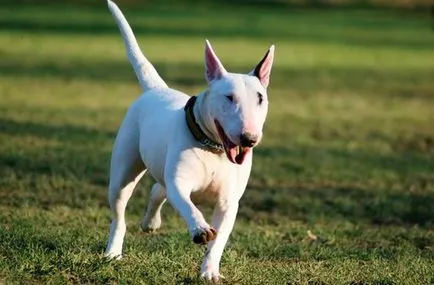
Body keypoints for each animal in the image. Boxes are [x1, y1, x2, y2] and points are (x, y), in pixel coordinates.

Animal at [104, 0, 274, 280]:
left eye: (260, 98)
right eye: (229, 97)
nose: (249, 138)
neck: (214, 148)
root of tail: (157, 89)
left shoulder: (229, 202)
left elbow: (219, 240)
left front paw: (209, 271)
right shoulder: (180, 182)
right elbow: (187, 205)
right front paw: (200, 229)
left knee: (157, 189)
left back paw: (150, 223)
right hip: (124, 171)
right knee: (120, 212)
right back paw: (113, 251)